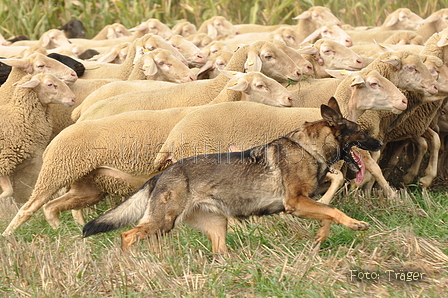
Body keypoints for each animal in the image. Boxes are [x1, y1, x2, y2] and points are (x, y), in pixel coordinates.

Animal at [83, 98, 382, 254]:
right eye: (361, 132)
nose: (379, 144)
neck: (308, 148)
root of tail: (163, 172)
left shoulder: (306, 202)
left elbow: (328, 213)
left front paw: (320, 237)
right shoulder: (296, 203)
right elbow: (333, 210)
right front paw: (355, 224)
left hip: (214, 227)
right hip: (162, 221)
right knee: (127, 236)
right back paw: (129, 264)